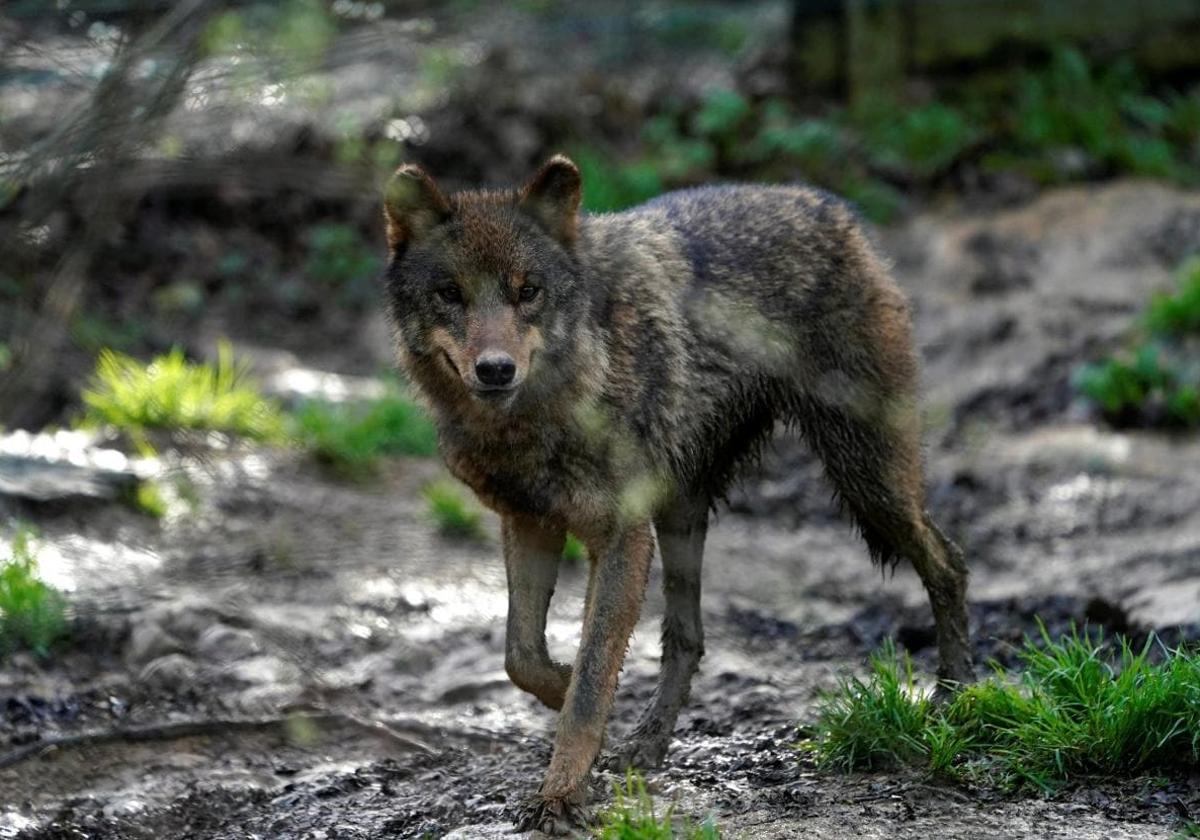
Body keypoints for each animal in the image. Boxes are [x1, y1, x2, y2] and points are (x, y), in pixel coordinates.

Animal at [384, 157, 974, 835]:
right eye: (450, 294)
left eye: (527, 290)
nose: (497, 370)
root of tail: (827, 204)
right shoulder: (531, 521)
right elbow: (523, 656)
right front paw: (570, 699)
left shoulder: (620, 536)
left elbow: (591, 680)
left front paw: (560, 795)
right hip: (683, 513)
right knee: (686, 637)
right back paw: (647, 744)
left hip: (868, 482)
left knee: (950, 562)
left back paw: (954, 697)